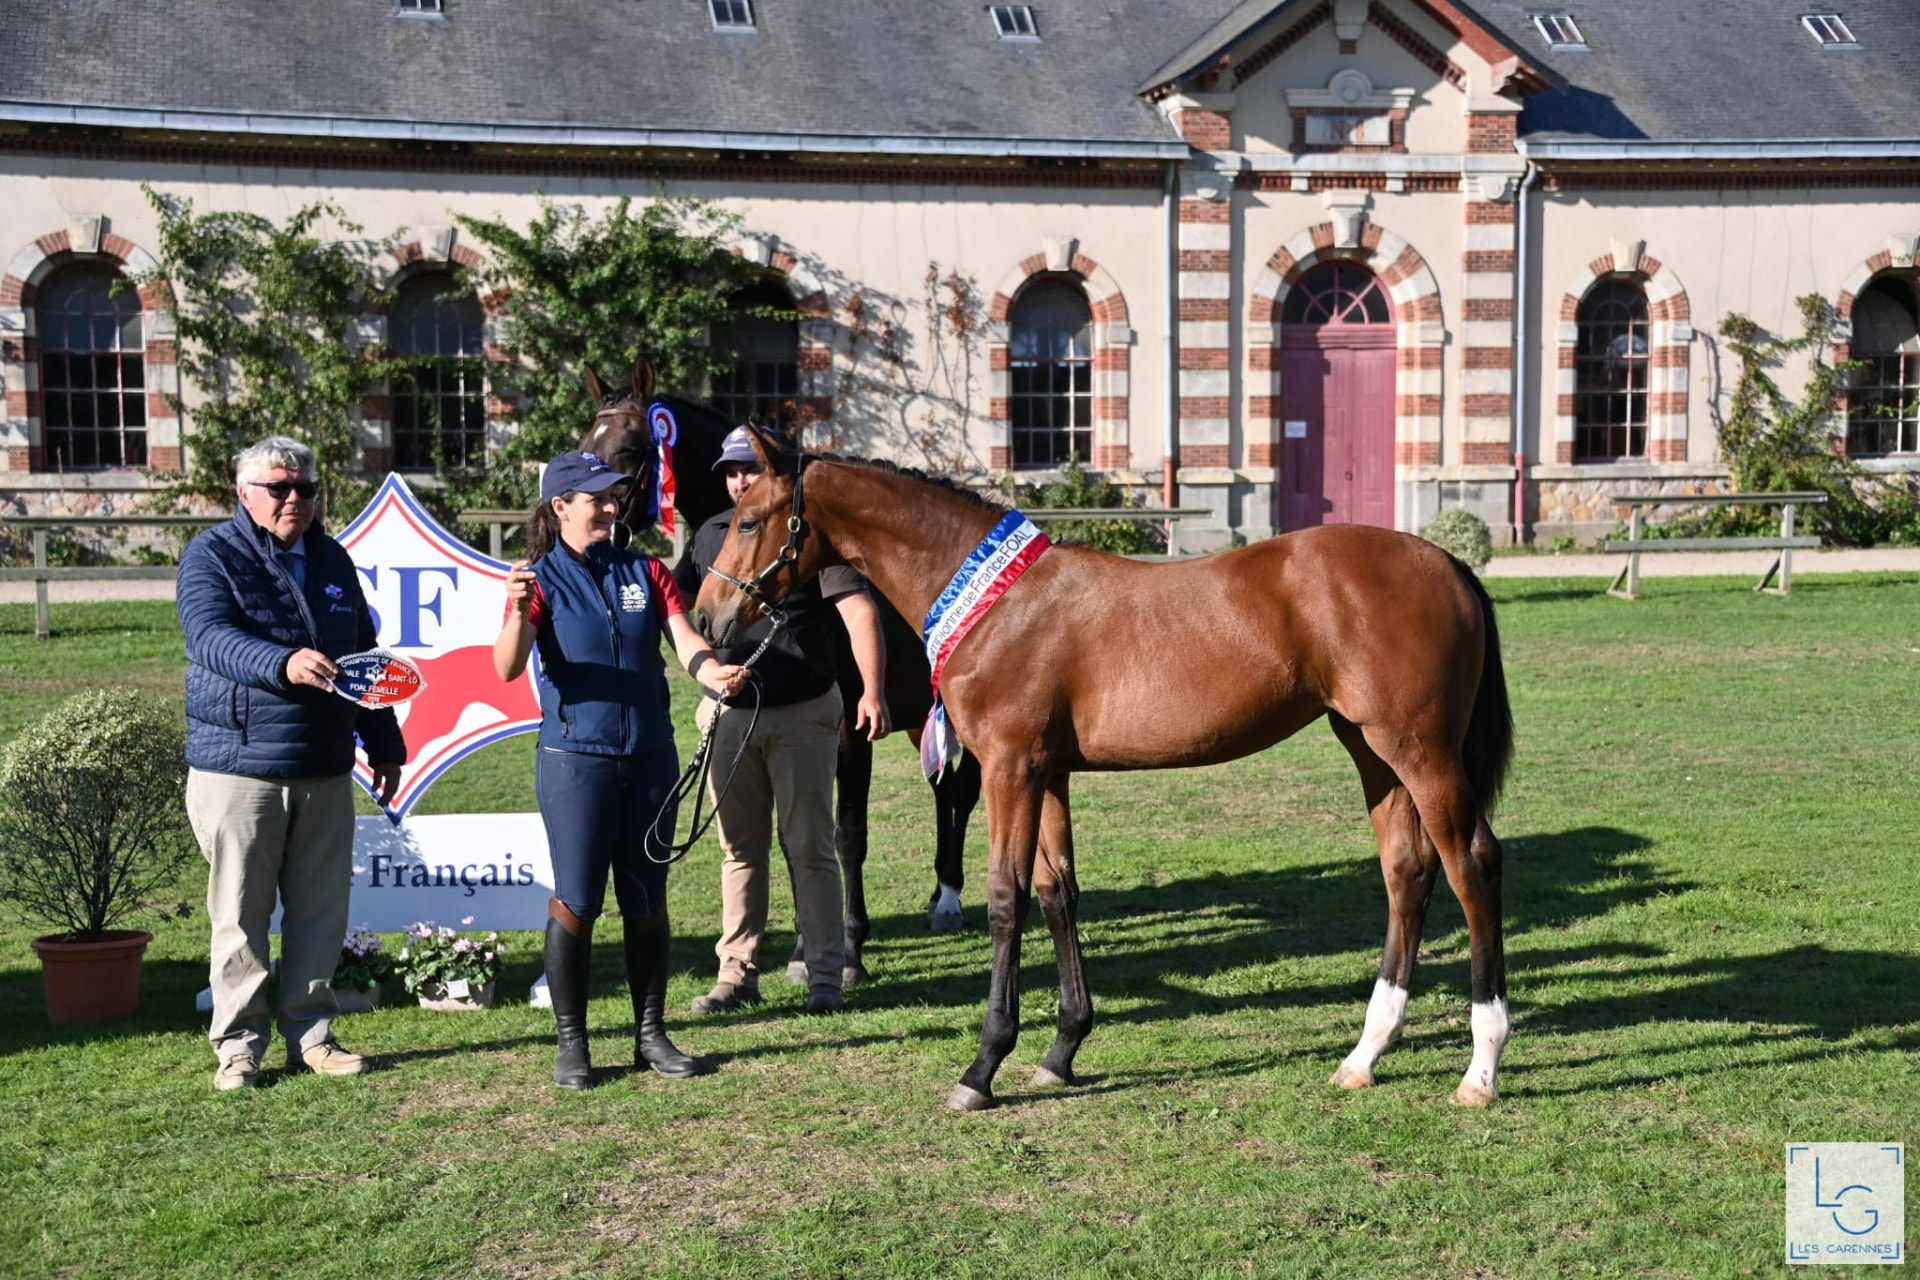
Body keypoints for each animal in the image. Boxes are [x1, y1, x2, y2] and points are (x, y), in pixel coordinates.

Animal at [575, 359, 984, 980]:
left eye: (627, 447)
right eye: (584, 446)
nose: (603, 528)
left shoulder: (849, 731)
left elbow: (845, 835)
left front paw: (850, 951)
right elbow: (794, 842)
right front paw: (802, 952)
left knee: (963, 790)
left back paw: (954, 898)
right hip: (923, 718)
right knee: (945, 789)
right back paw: (942, 896)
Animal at [692, 427, 1516, 1111]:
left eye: (748, 520)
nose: (707, 619)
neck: (1000, 601)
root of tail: (1447, 562)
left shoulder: (1010, 768)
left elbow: (1005, 899)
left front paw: (981, 1068)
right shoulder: (1047, 773)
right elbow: (1059, 893)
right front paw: (1062, 1050)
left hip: (1419, 750)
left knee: (1472, 865)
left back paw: (1481, 1067)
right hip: (1371, 749)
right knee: (1407, 870)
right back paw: (1365, 1054)